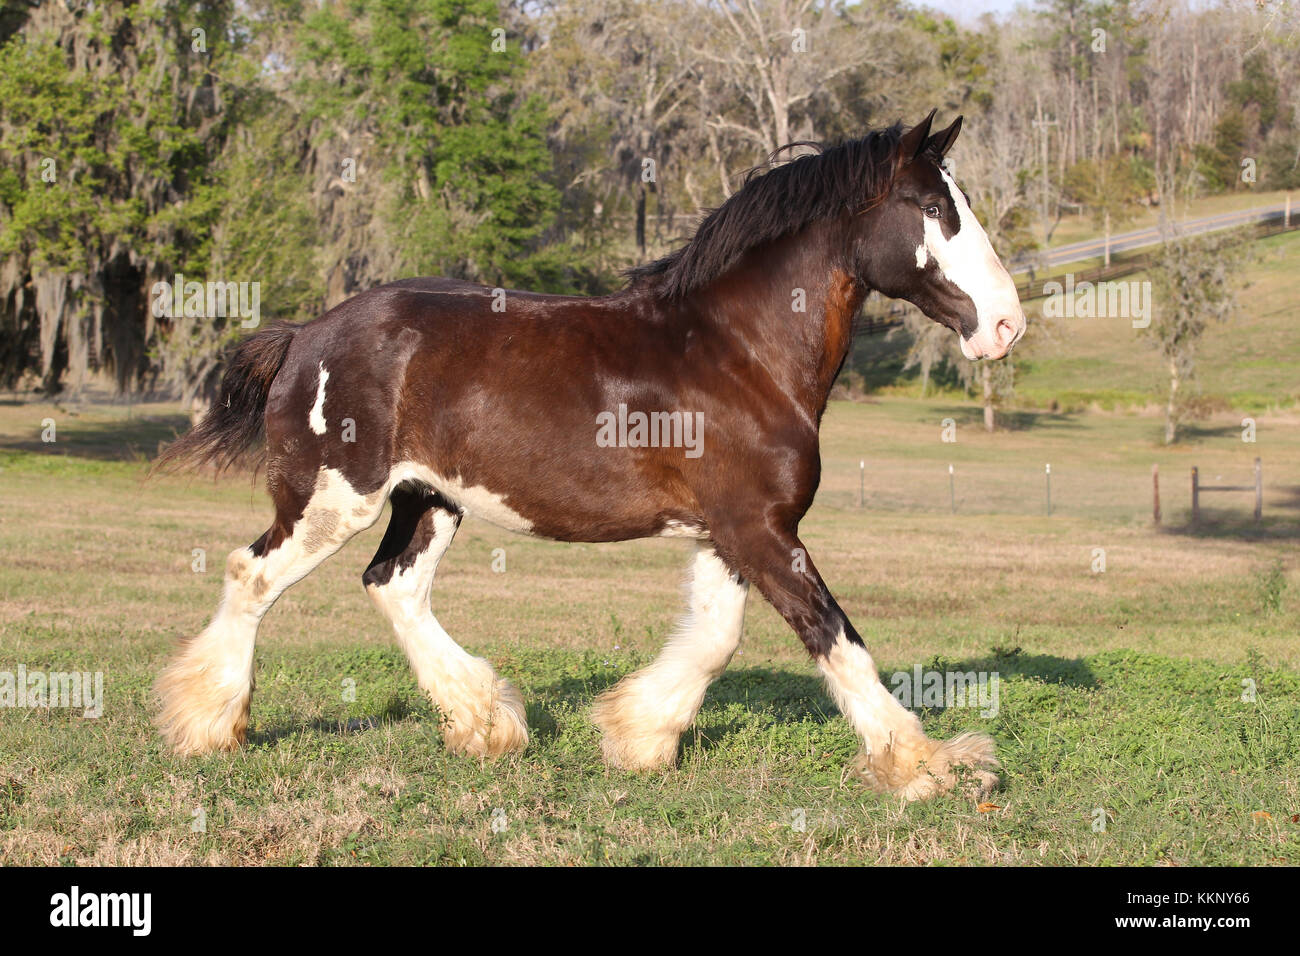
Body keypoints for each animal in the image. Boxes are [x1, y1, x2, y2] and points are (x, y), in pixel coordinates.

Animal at [154, 110, 1024, 801]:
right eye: (934, 206)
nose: (1007, 324)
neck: (739, 351)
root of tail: (304, 335)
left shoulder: (733, 532)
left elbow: (716, 639)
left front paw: (638, 735)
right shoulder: (761, 531)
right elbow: (834, 637)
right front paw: (926, 764)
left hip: (431, 501)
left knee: (391, 586)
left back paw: (485, 723)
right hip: (335, 499)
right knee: (252, 574)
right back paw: (208, 726)